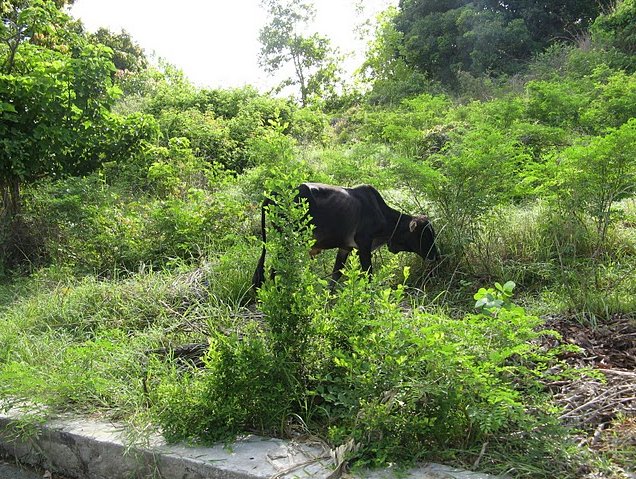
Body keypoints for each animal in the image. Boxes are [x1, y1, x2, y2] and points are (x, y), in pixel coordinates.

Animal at [251, 183, 440, 288]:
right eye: (424, 235)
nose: (436, 256)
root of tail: (271, 195)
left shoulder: (345, 247)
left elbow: (335, 276)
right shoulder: (364, 245)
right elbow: (368, 274)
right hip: (289, 241)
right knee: (275, 268)